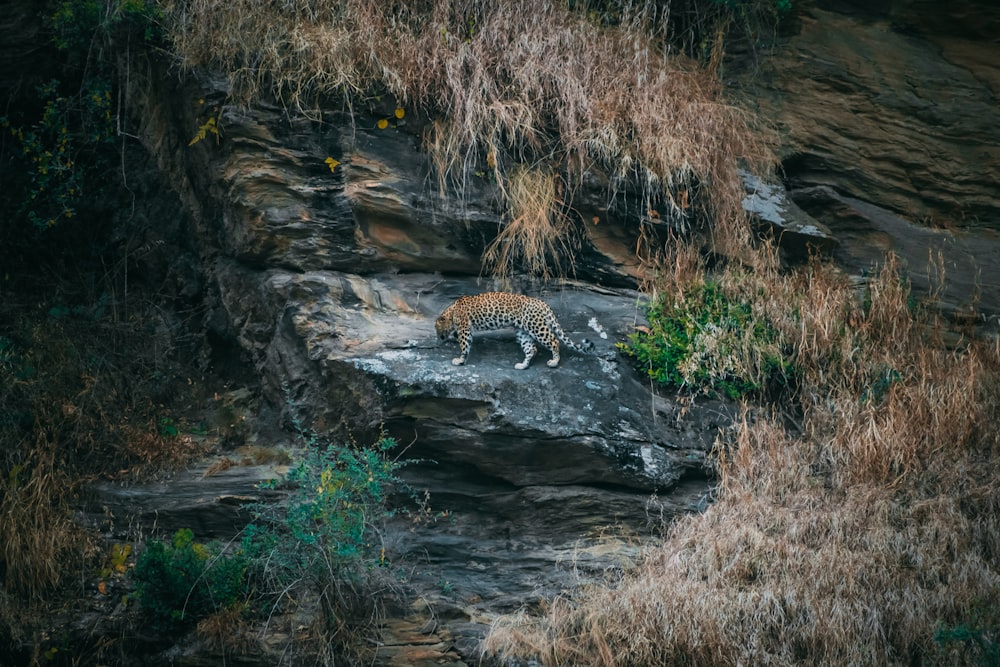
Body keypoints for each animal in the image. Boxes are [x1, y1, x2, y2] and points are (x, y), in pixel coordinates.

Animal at [438, 292, 592, 370]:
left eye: (437, 329)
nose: (439, 337)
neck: (452, 311)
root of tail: (542, 303)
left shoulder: (464, 328)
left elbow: (464, 345)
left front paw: (459, 360)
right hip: (523, 331)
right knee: (532, 348)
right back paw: (523, 365)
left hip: (536, 326)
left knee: (554, 341)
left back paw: (554, 362)